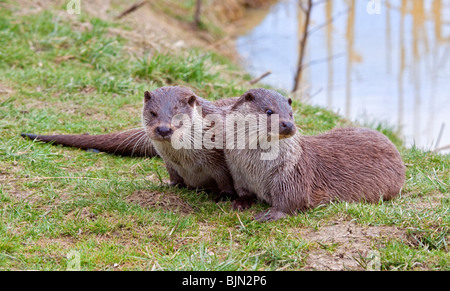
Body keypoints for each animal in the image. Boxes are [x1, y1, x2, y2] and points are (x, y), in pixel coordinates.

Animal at [227, 88, 406, 222]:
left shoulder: (292, 173)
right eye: (269, 111)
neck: (256, 170)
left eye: (291, 113)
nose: (288, 124)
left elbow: (291, 199)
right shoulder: (238, 173)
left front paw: (271, 214)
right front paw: (241, 202)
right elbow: (243, 191)